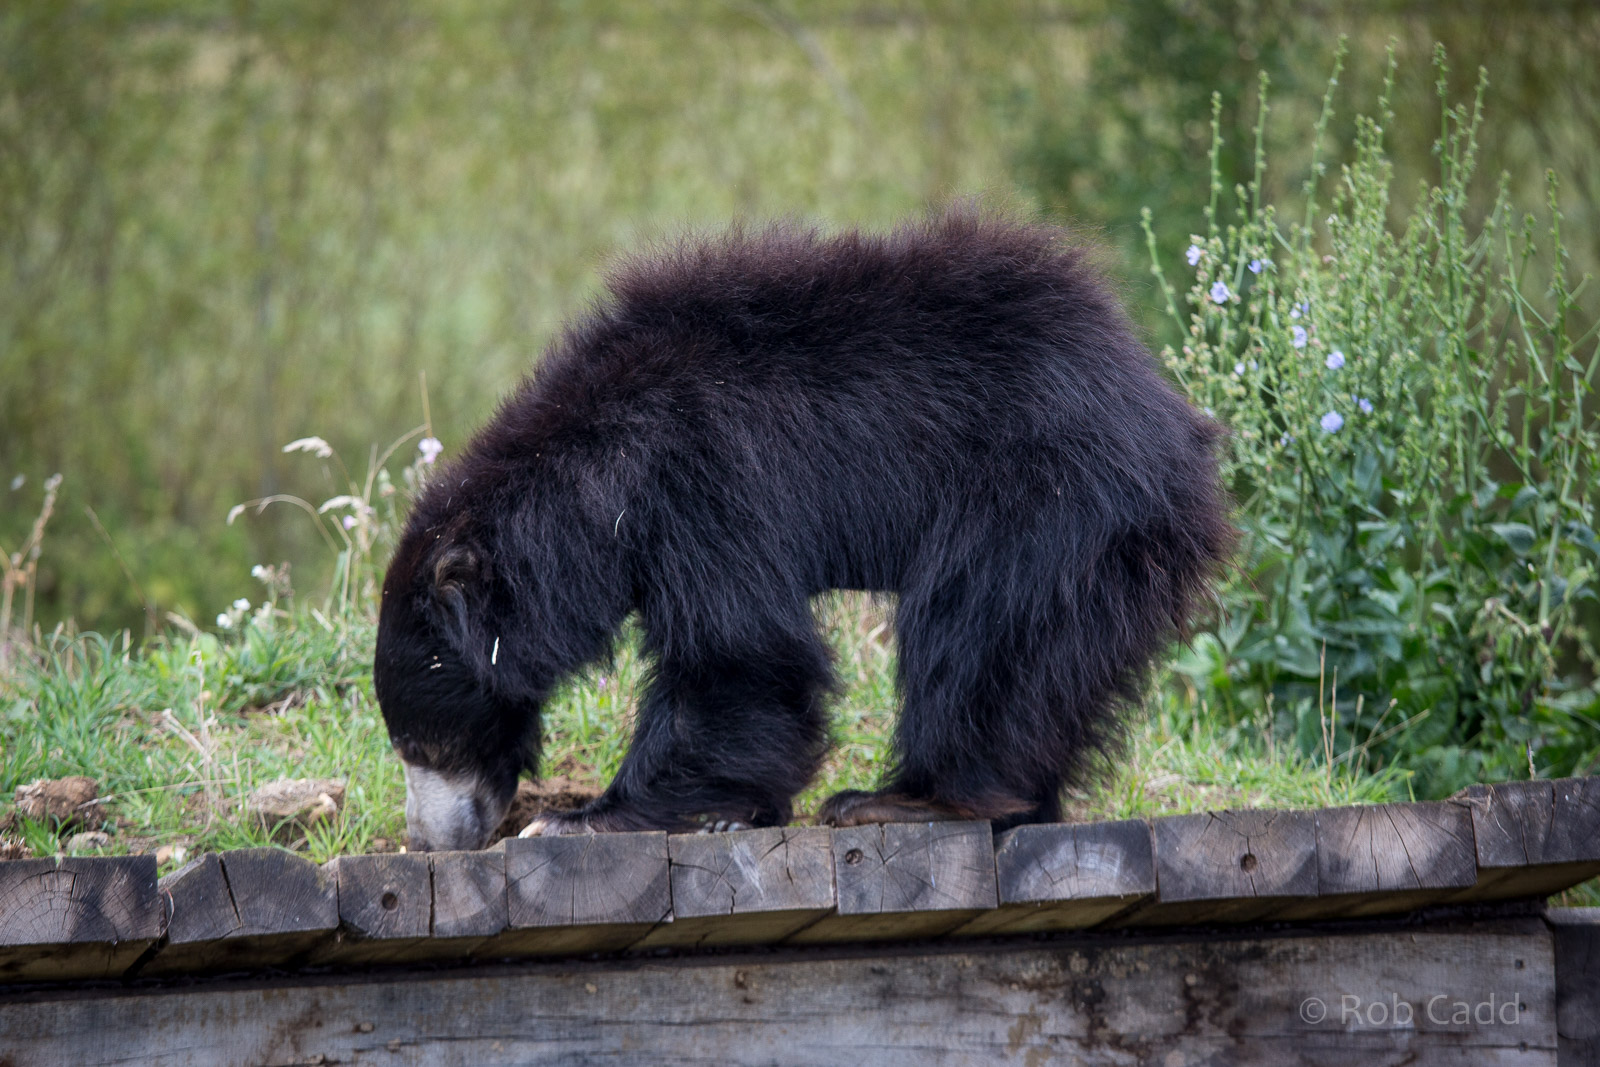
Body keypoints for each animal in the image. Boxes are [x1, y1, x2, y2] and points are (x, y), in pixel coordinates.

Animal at [373, 209, 1234, 851]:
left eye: (425, 744)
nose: (433, 838)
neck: (591, 477)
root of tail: (1168, 413)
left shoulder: (700, 483)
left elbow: (740, 654)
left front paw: (581, 818)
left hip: (1042, 500)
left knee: (977, 633)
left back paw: (905, 799)